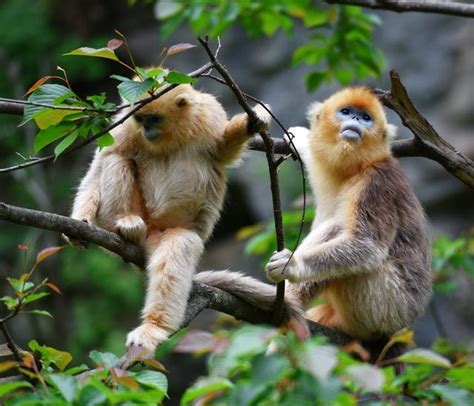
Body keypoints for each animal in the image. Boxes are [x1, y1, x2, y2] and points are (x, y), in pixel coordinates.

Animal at [262, 87, 434, 340]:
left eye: (366, 117)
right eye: (346, 111)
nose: (355, 119)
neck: (356, 169)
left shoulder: (376, 184)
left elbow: (368, 245)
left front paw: (293, 265)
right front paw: (300, 138)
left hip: (387, 303)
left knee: (338, 227)